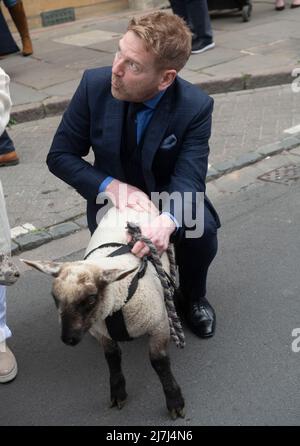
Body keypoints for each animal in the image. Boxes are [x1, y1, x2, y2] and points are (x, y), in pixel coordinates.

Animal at [22, 207, 185, 420]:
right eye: (54, 297)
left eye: (91, 298)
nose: (68, 339)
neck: (117, 305)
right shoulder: (103, 333)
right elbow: (112, 359)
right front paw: (118, 393)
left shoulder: (158, 325)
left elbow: (160, 363)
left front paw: (174, 402)